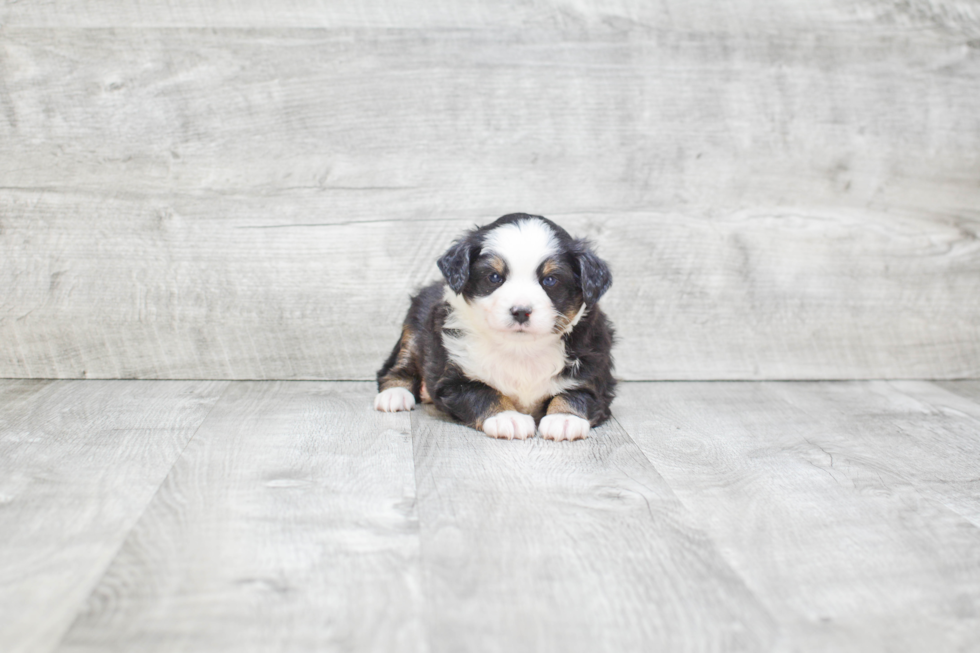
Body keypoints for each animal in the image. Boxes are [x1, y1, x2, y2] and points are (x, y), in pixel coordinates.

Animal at [374, 211, 612, 440]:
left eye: (550, 280)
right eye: (494, 277)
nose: (521, 311)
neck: (521, 350)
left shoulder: (593, 370)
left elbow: (576, 393)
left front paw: (564, 419)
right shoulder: (454, 380)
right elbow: (485, 394)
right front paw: (508, 418)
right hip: (413, 329)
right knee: (397, 367)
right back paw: (395, 395)